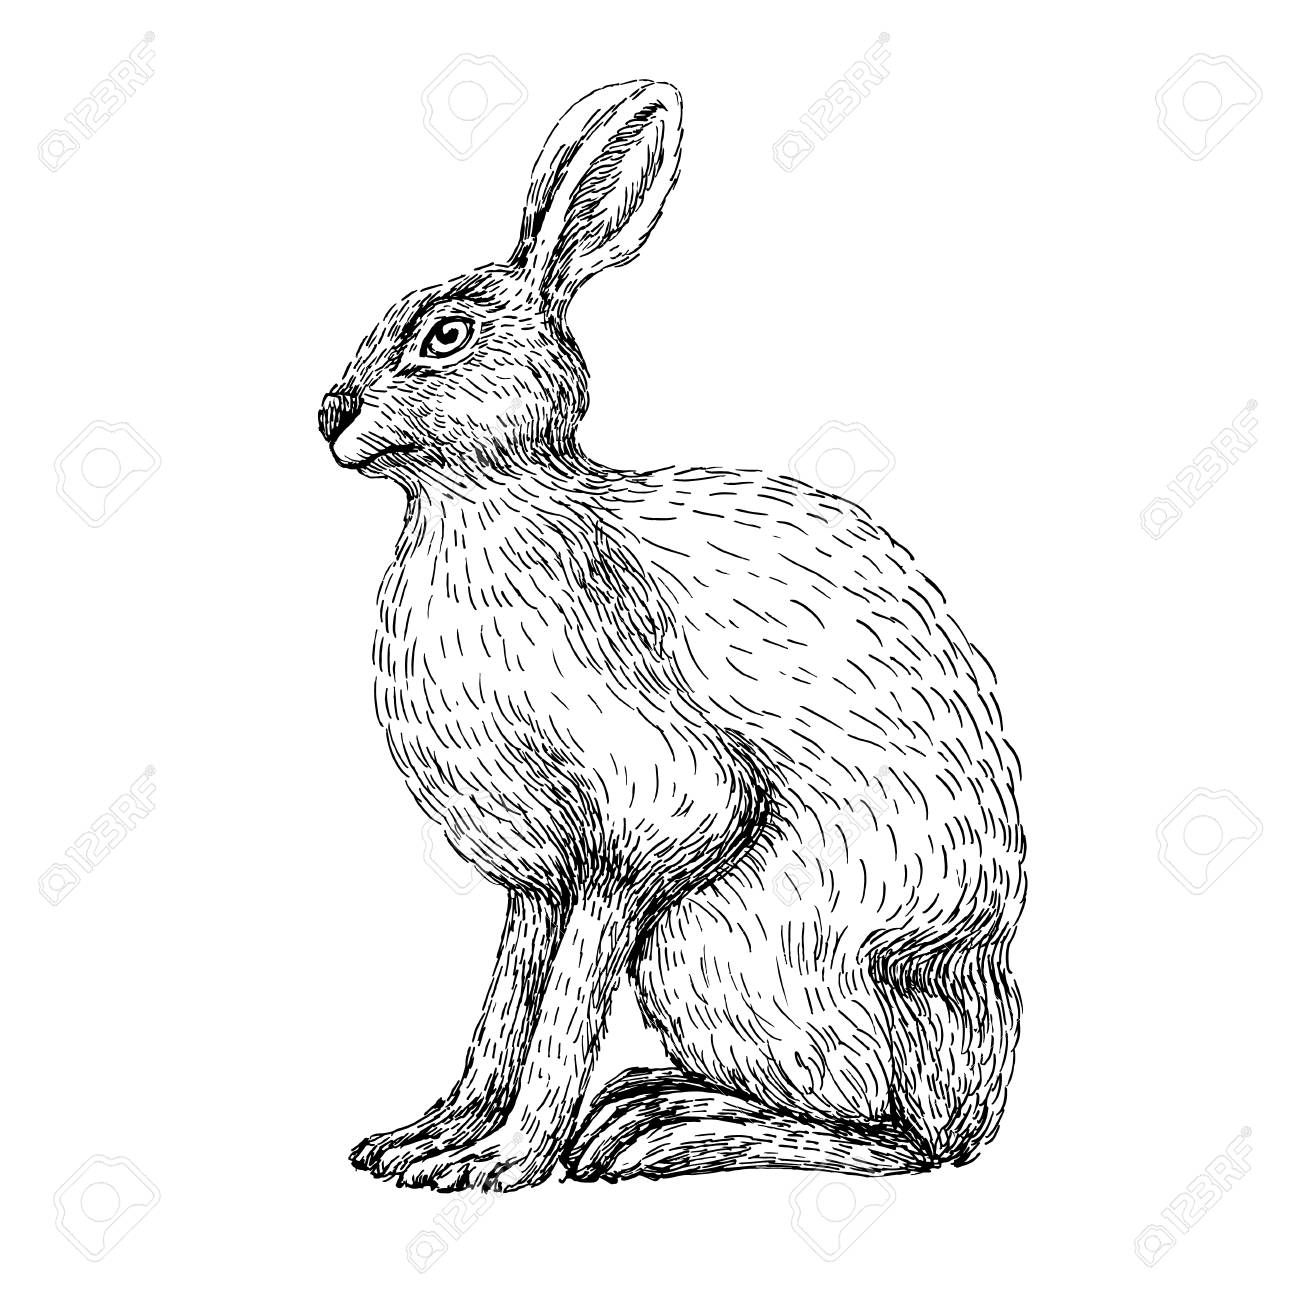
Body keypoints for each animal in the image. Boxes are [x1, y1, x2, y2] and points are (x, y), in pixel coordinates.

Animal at [320, 79, 1025, 1193]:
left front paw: (504, 1160)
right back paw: (643, 1103)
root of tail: (980, 1090)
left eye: (444, 334)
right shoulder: (538, 878)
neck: (480, 503)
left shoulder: (651, 817)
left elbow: (568, 999)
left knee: (891, 1139)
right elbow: (507, 996)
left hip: (718, 951)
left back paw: (658, 1136)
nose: (327, 413)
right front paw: (429, 1139)